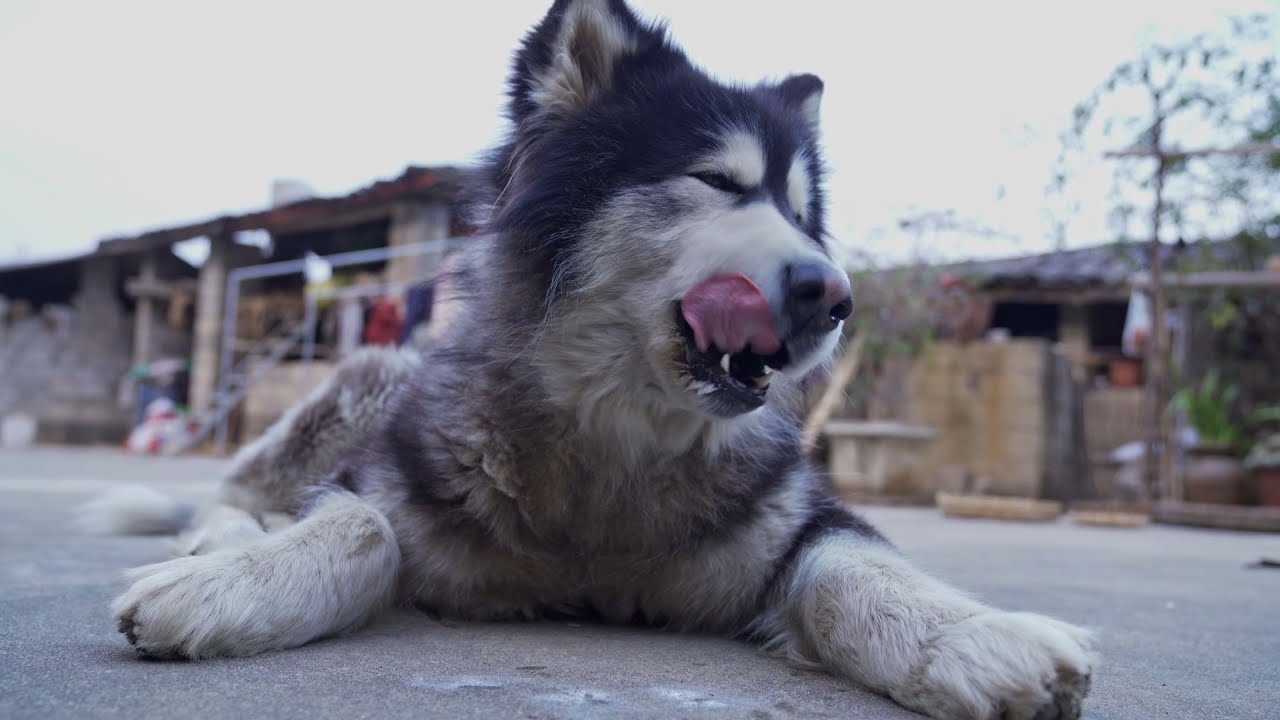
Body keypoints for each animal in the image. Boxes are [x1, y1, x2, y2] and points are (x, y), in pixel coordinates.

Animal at [87, 2, 1100, 712]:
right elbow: (357, 525)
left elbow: (855, 565)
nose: (835, 294)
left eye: (803, 214)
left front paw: (977, 637)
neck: (614, 445)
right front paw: (226, 586)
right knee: (233, 492)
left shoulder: (789, 519)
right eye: (716, 180)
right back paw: (222, 540)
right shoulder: (387, 481)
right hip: (371, 382)